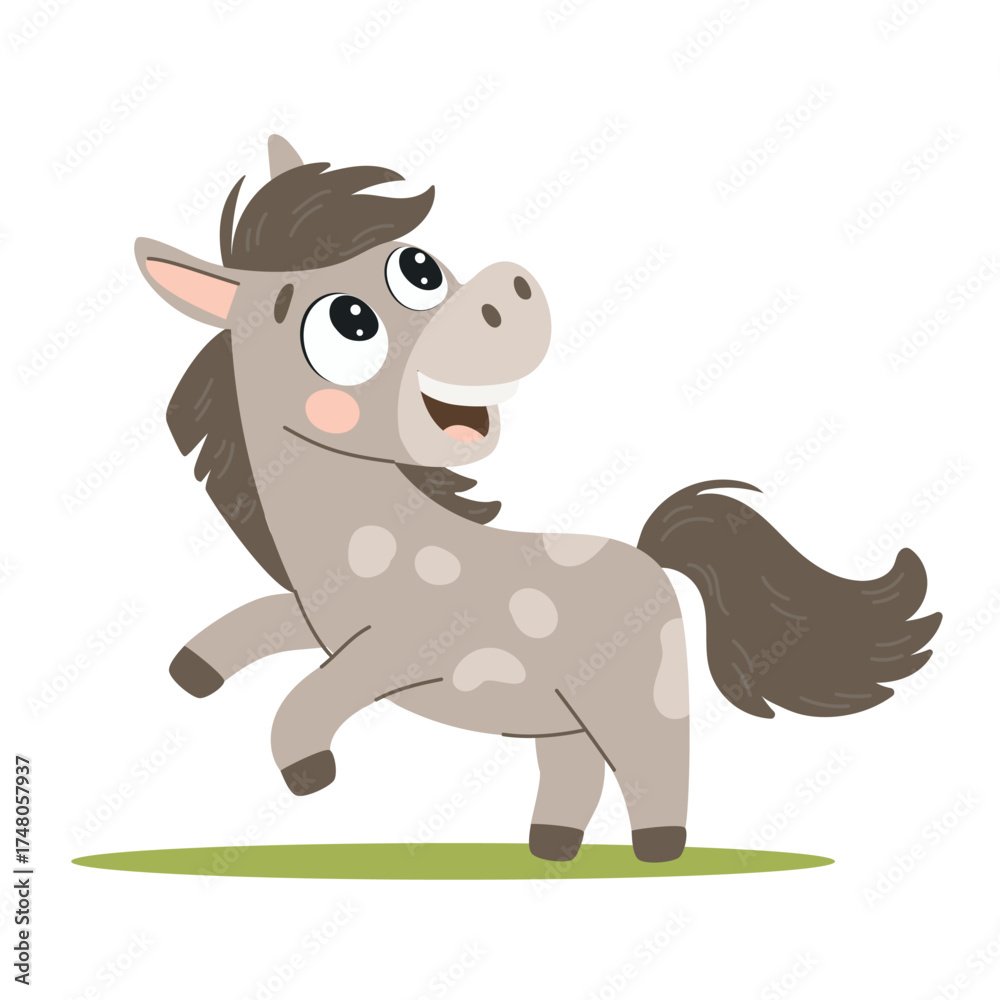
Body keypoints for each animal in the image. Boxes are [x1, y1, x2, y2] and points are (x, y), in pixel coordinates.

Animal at [134, 135, 941, 863]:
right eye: (349, 322)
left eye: (417, 267)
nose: (508, 290)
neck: (375, 544)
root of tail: (651, 558)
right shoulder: (323, 620)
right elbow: (262, 619)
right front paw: (193, 672)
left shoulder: (401, 652)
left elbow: (312, 693)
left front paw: (307, 769)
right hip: (561, 714)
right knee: (575, 770)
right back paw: (552, 846)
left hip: (635, 698)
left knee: (655, 765)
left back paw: (657, 849)